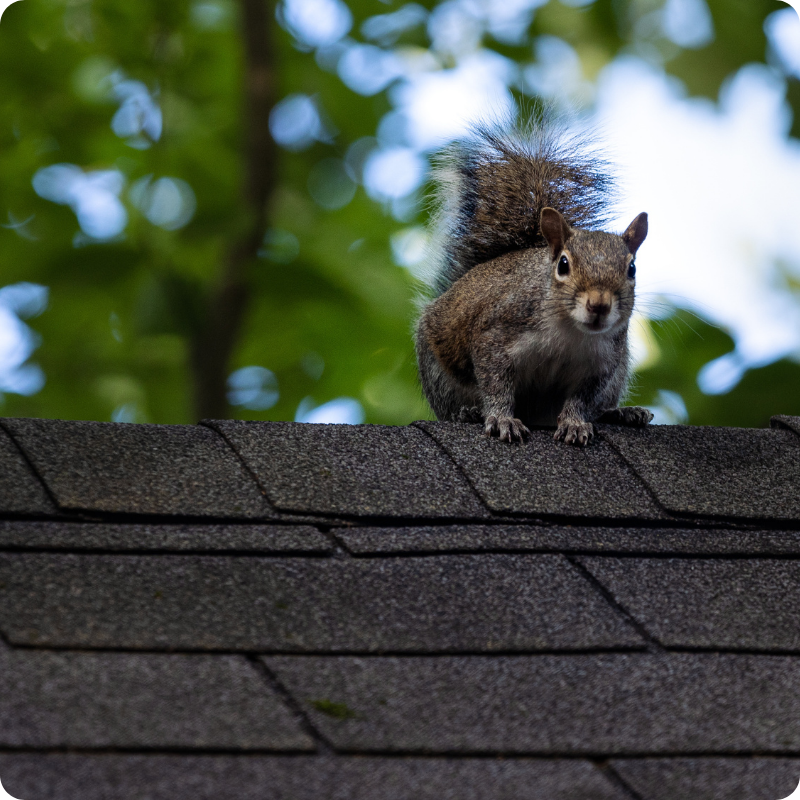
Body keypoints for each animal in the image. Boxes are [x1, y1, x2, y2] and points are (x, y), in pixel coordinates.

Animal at [415, 116, 654, 446]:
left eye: (631, 269)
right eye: (563, 264)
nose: (599, 305)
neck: (570, 331)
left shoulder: (604, 364)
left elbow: (581, 400)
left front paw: (574, 423)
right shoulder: (497, 333)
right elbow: (496, 383)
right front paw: (502, 419)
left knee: (600, 406)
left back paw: (621, 413)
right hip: (438, 373)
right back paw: (468, 412)